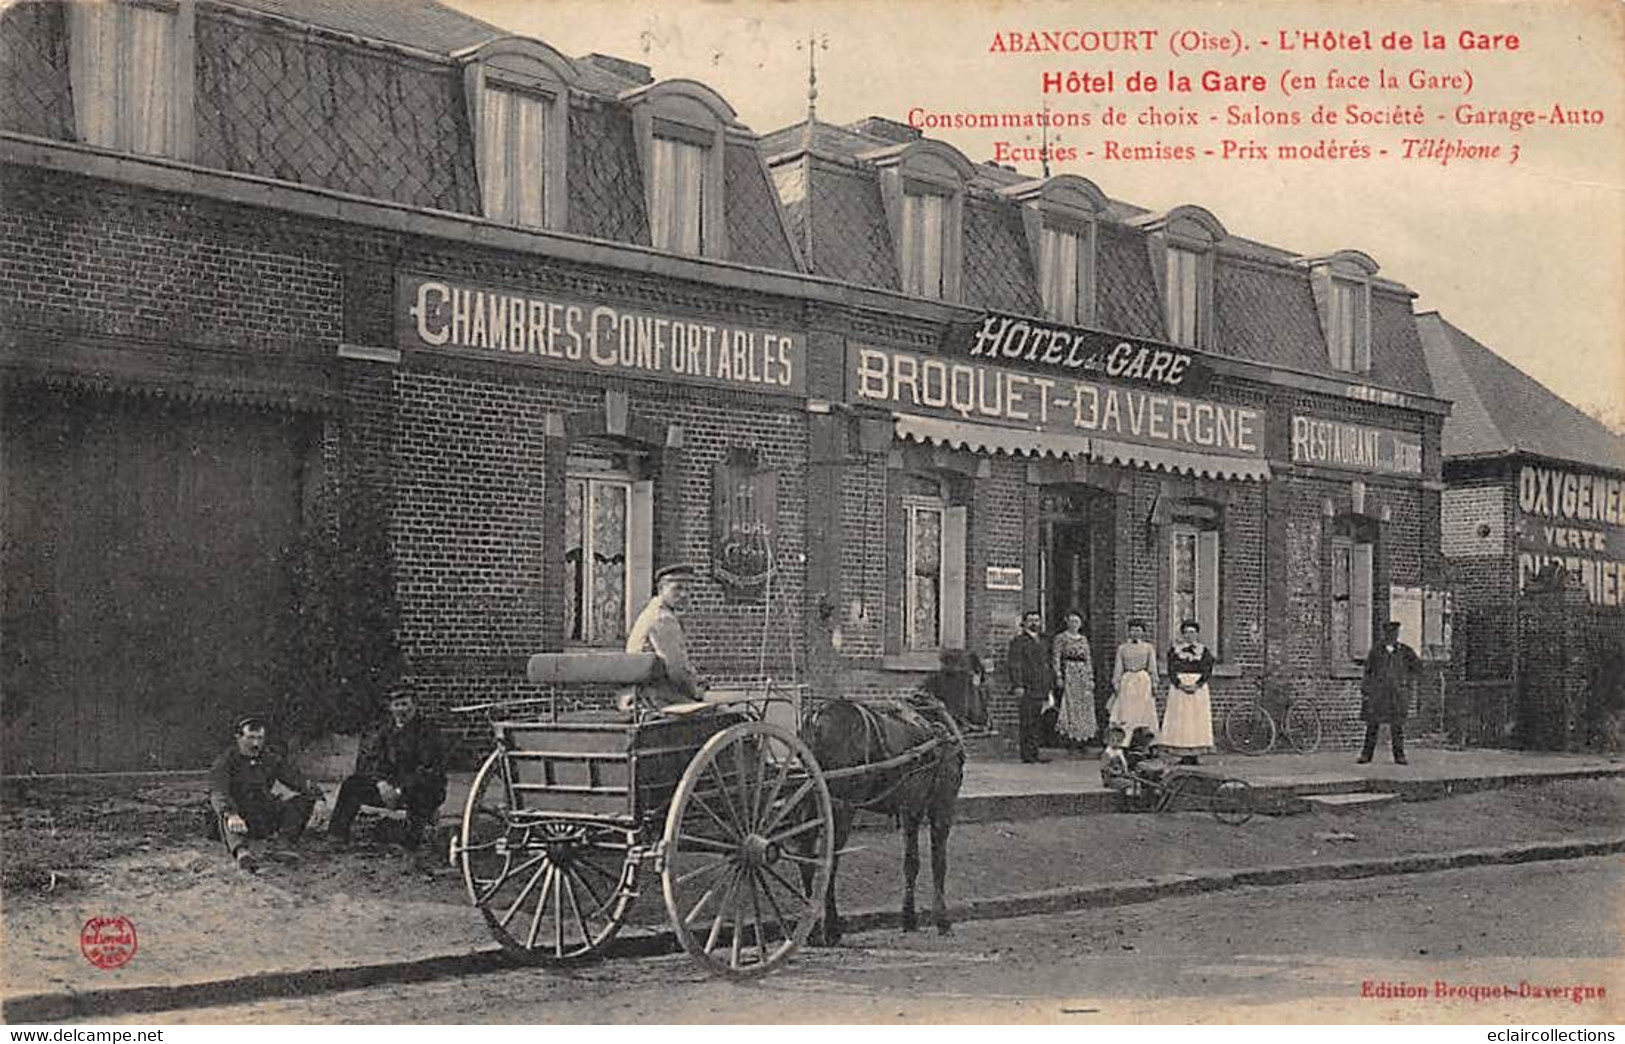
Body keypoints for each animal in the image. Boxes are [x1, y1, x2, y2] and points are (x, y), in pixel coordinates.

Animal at [799, 689, 962, 943]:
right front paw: (941, 921)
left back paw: (813, 931)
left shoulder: (911, 810)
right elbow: (937, 863)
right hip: (842, 807)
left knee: (806, 856)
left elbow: (911, 863)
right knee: (830, 861)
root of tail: (818, 714)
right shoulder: (941, 806)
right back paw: (832, 929)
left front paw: (909, 918)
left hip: (813, 804)